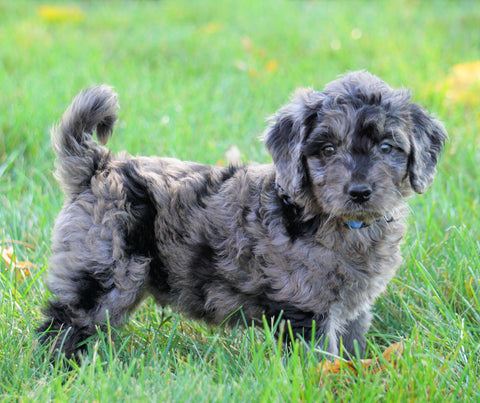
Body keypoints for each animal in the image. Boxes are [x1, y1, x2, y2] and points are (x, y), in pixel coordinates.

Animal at [36, 71, 446, 362]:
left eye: (387, 147)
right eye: (328, 149)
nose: (359, 192)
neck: (338, 223)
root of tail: (98, 166)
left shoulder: (352, 311)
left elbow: (351, 348)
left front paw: (357, 373)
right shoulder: (304, 308)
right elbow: (318, 359)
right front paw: (327, 382)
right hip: (104, 271)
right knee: (66, 322)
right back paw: (61, 370)